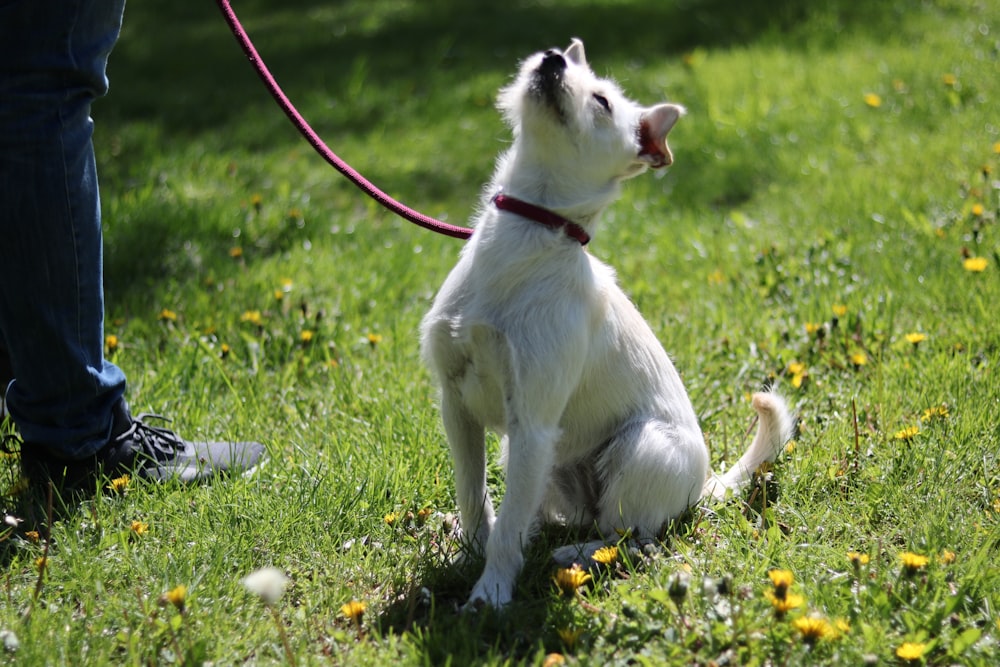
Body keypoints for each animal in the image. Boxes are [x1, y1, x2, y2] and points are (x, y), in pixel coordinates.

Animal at [418, 37, 792, 612]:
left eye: (602, 101)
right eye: (557, 58)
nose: (551, 58)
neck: (527, 234)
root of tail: (703, 484)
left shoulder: (532, 420)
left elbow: (505, 526)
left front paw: (490, 593)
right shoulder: (457, 406)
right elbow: (473, 493)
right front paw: (471, 552)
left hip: (641, 449)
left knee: (631, 537)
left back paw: (572, 554)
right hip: (537, 459)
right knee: (542, 512)